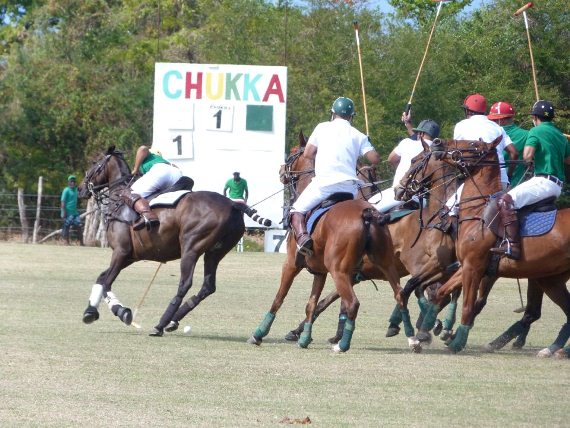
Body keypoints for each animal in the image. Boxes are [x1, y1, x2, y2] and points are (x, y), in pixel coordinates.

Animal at [78, 145, 270, 336]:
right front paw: (93, 312)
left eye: (94, 162)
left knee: (185, 284)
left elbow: (107, 282)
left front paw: (118, 312)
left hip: (191, 247)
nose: (80, 189)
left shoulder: (121, 251)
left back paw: (160, 324)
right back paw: (173, 320)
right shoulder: (131, 256)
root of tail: (233, 204)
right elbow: (102, 278)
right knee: (208, 286)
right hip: (215, 252)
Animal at [246, 136, 402, 352]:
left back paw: (342, 344)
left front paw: (259, 333)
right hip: (384, 264)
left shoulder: (291, 264)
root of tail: (367, 213)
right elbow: (311, 304)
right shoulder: (320, 271)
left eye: (292, 152)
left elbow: (279, 298)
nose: (281, 171)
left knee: (352, 303)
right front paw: (304, 338)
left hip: (340, 270)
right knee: (400, 295)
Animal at [394, 138, 568, 354]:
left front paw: (442, 333)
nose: (399, 189)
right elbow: (426, 289)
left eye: (415, 160)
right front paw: (426, 330)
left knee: (530, 311)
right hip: (546, 276)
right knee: (534, 311)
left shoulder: (453, 264)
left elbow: (448, 297)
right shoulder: (462, 266)